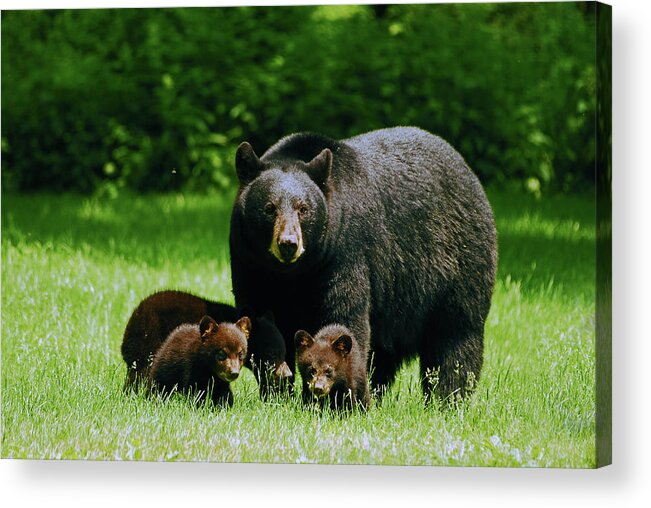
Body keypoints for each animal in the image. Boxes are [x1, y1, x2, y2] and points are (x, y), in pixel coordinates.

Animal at [232, 128, 496, 404]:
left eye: (303, 209)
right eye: (269, 208)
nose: (288, 244)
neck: (294, 272)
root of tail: (467, 170)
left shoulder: (344, 254)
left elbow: (344, 316)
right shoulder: (251, 264)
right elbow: (261, 320)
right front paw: (277, 393)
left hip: (459, 264)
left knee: (456, 337)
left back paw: (447, 398)